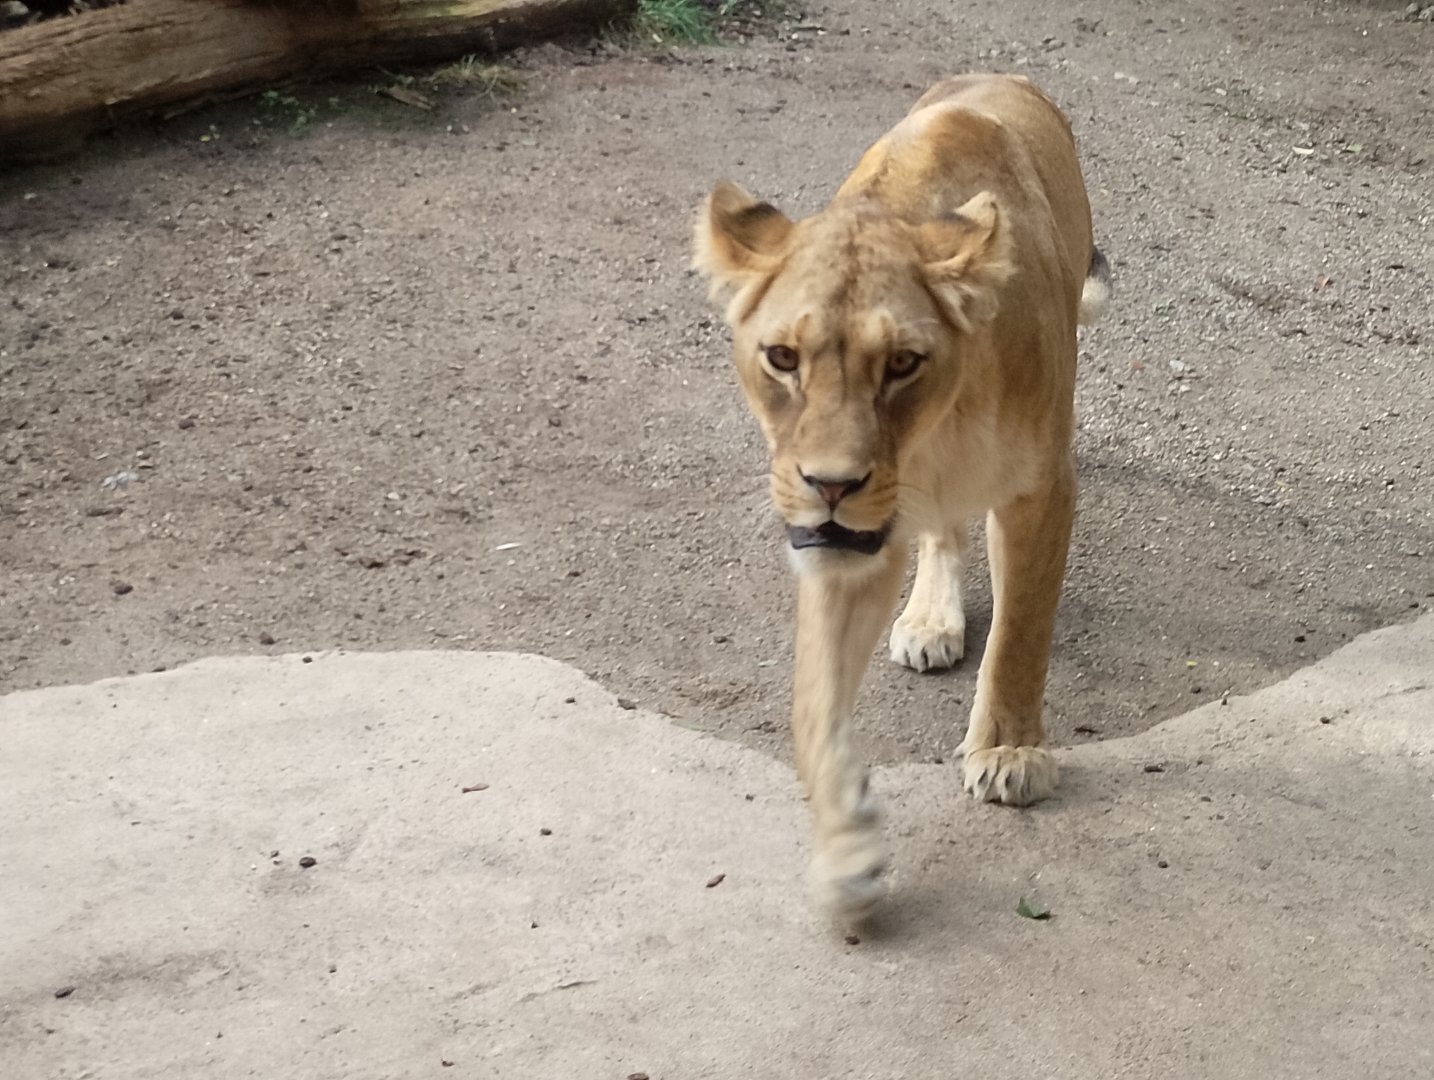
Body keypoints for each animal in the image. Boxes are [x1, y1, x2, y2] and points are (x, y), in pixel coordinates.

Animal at [692, 74, 1110, 921]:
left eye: (903, 363)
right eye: (782, 357)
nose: (830, 484)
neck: (929, 437)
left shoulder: (1041, 487)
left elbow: (1021, 632)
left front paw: (1010, 752)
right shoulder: (845, 540)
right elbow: (815, 703)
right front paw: (846, 843)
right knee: (941, 533)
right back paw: (929, 620)